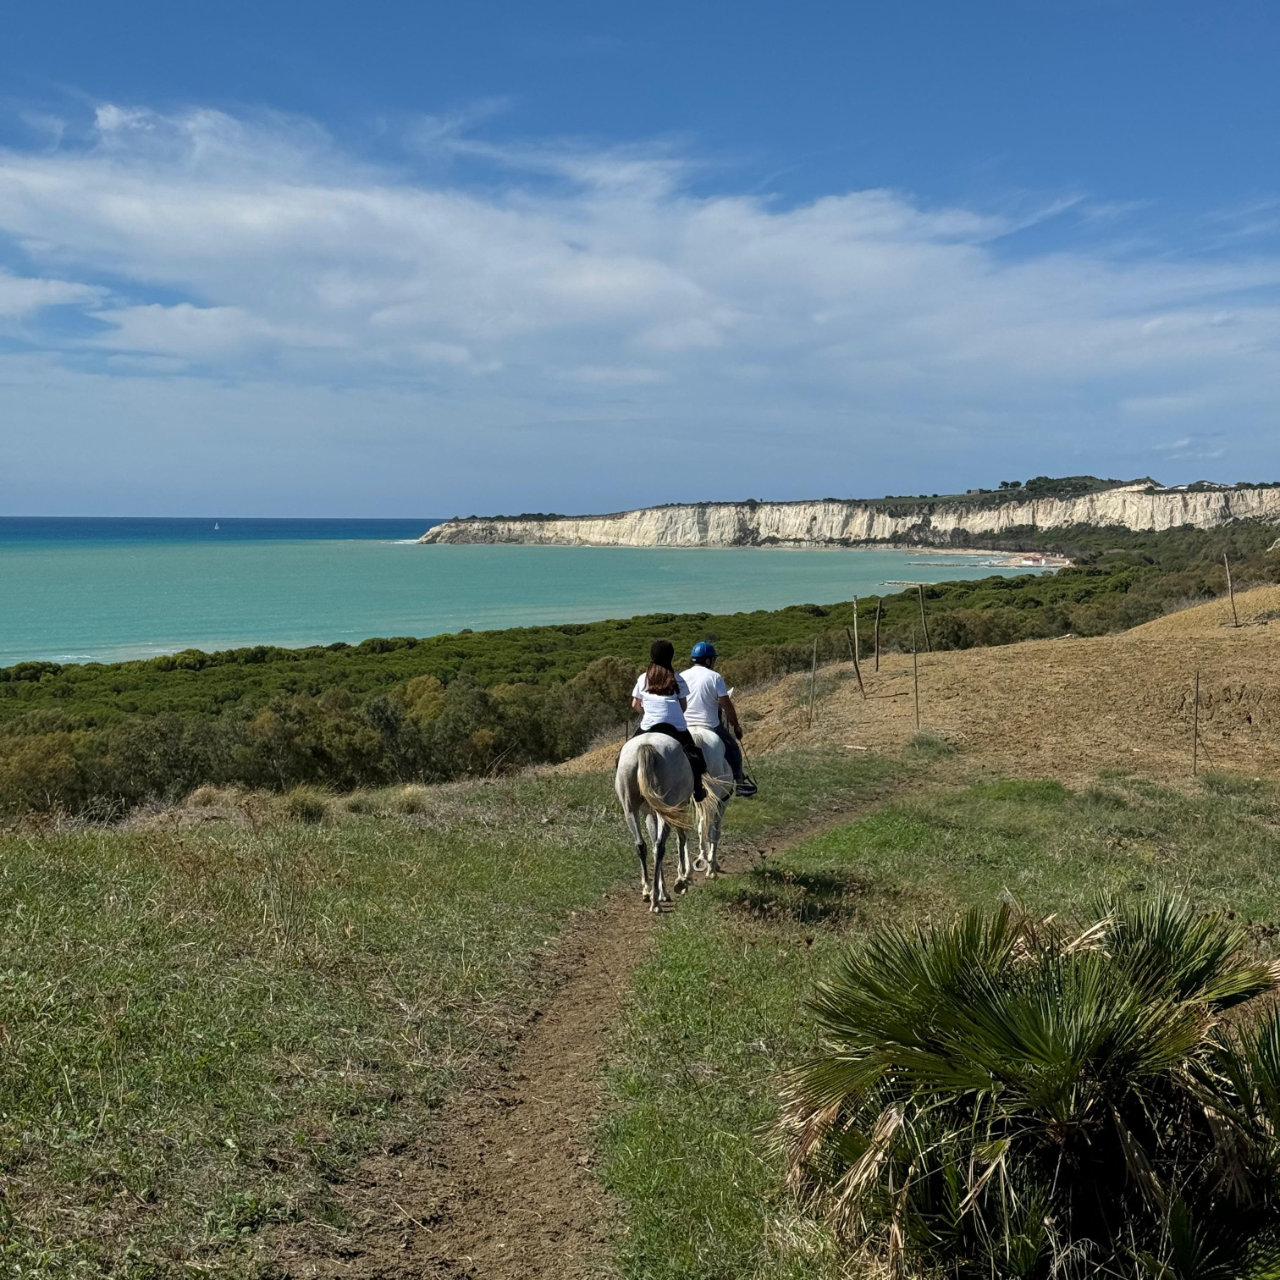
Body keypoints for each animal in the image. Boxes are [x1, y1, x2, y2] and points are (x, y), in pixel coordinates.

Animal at [614, 726, 733, 912]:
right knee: (663, 845)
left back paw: (648, 891)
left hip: (631, 809)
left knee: (643, 845)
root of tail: (645, 746)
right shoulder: (713, 803)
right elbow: (689, 836)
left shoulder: (652, 813)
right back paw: (657, 900)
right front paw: (683, 878)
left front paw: (671, 885)